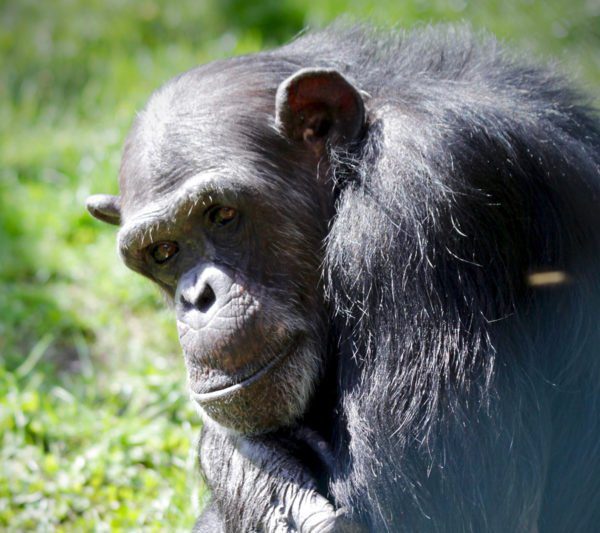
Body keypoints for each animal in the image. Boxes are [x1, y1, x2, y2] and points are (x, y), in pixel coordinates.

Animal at [86, 23, 600, 532]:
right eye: (163, 252)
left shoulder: (424, 197)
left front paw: (264, 477)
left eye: (222, 214)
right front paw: (278, 488)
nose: (198, 297)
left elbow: (434, 515)